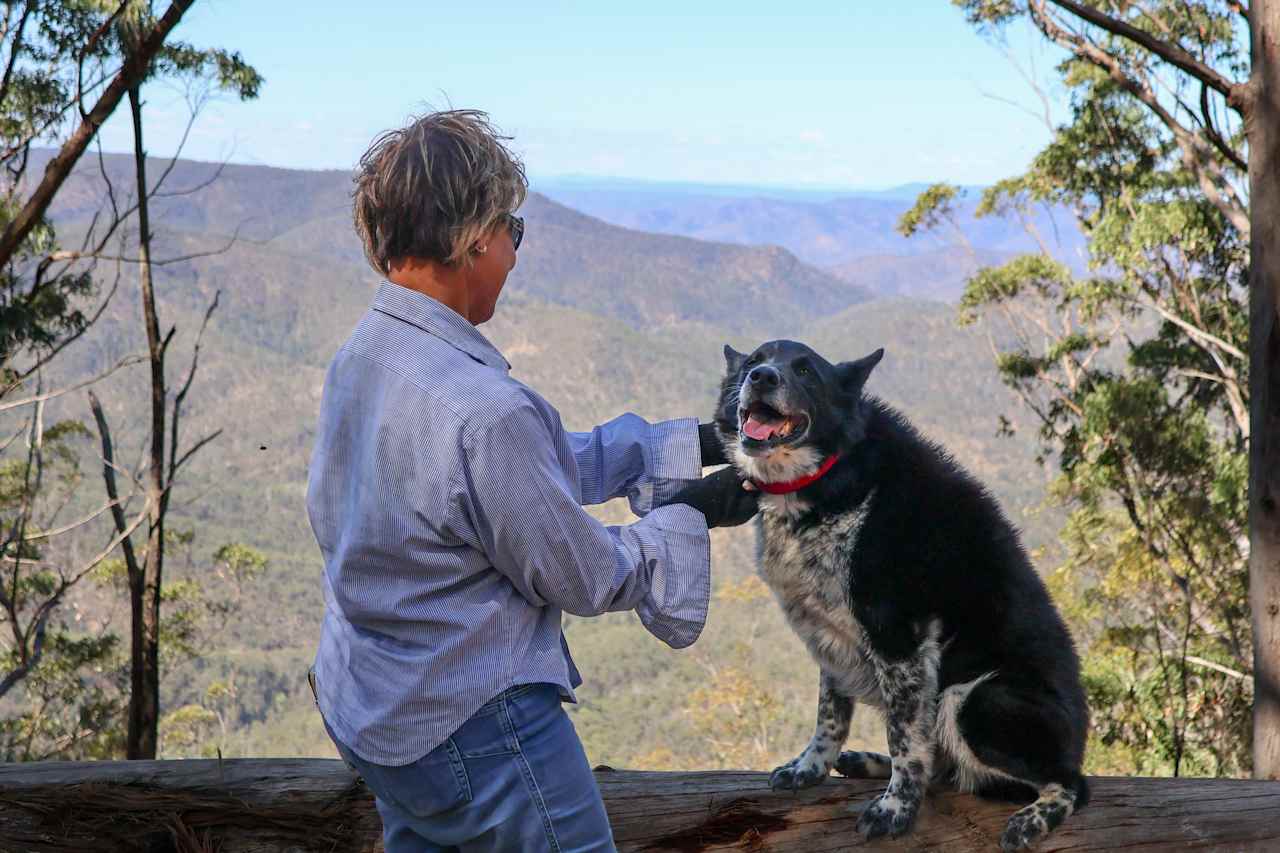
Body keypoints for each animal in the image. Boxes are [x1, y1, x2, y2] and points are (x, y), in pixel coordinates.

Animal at [716, 340, 1085, 850]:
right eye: (753, 361)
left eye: (806, 371)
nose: (763, 377)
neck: (829, 475)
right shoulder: (831, 635)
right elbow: (830, 716)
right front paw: (810, 768)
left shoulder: (899, 640)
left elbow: (906, 740)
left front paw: (896, 810)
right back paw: (866, 762)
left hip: (974, 699)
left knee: (1069, 783)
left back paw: (1033, 818)